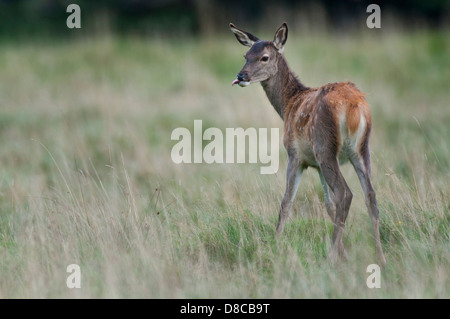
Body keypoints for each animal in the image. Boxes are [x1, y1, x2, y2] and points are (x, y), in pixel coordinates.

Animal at [230, 22, 384, 264]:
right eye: (246, 55)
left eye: (264, 57)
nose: (241, 75)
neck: (287, 106)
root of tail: (353, 106)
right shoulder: (317, 165)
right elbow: (328, 205)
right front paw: (346, 252)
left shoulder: (296, 155)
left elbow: (286, 203)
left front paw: (275, 244)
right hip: (361, 147)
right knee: (370, 195)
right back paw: (380, 257)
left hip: (325, 145)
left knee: (345, 193)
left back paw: (330, 257)